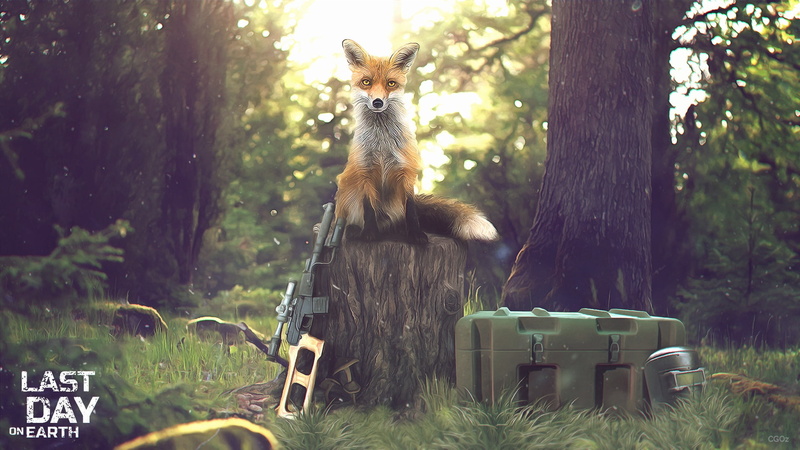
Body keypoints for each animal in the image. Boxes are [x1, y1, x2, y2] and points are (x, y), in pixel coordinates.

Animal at [335, 39, 499, 244]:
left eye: (391, 83)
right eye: (366, 82)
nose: (378, 102)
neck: (382, 143)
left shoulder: (407, 170)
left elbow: (411, 210)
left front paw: (416, 235)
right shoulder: (365, 170)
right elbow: (368, 209)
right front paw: (369, 234)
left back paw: (397, 231)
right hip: (346, 192)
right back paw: (355, 230)